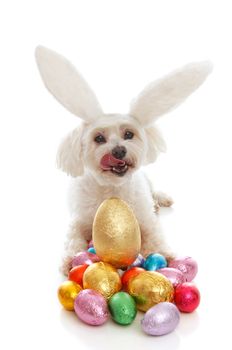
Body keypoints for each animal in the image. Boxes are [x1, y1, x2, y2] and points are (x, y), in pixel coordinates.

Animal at [35, 47, 212, 276]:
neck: (113, 189)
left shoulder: (146, 219)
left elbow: (155, 234)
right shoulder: (79, 221)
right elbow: (73, 238)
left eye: (128, 134)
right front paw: (71, 258)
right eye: (98, 138)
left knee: (154, 192)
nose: (119, 150)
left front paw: (163, 252)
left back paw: (161, 199)